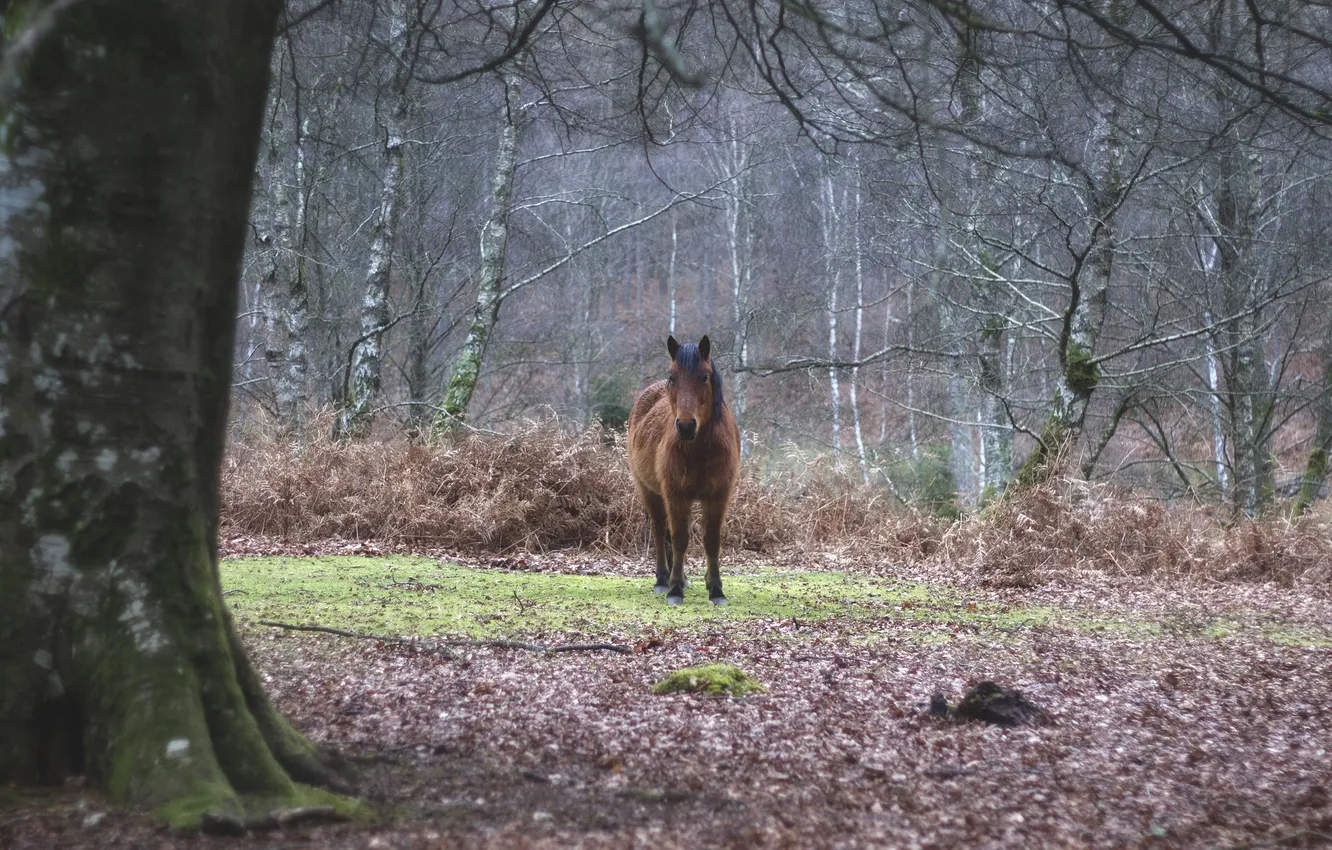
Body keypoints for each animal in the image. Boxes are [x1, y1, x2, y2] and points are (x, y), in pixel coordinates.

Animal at [627, 335, 741, 606]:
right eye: (672, 377)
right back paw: (662, 580)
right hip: (650, 492)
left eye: (705, 377)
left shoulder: (718, 496)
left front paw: (715, 589)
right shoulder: (676, 494)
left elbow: (711, 540)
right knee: (660, 531)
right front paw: (675, 589)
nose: (686, 426)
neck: (699, 449)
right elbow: (680, 539)